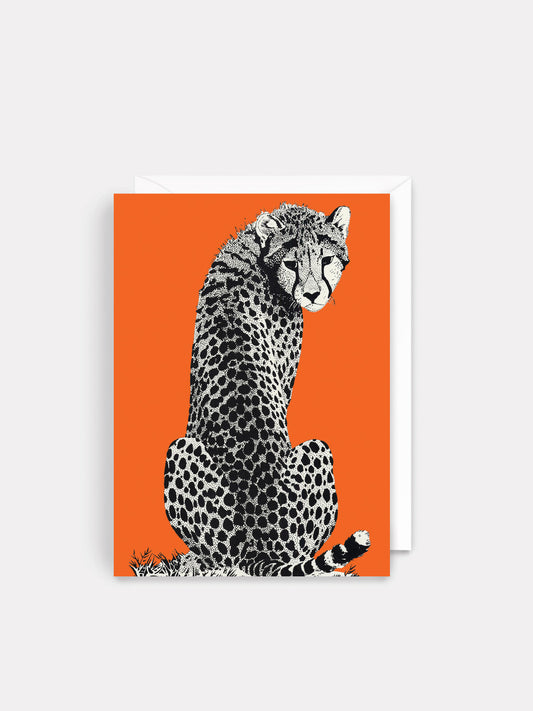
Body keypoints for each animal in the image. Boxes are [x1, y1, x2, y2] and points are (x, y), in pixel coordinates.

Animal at [164, 203, 370, 575]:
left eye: (325, 260)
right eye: (292, 263)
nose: (312, 294)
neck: (255, 250)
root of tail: (257, 544)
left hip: (182, 448)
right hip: (316, 448)